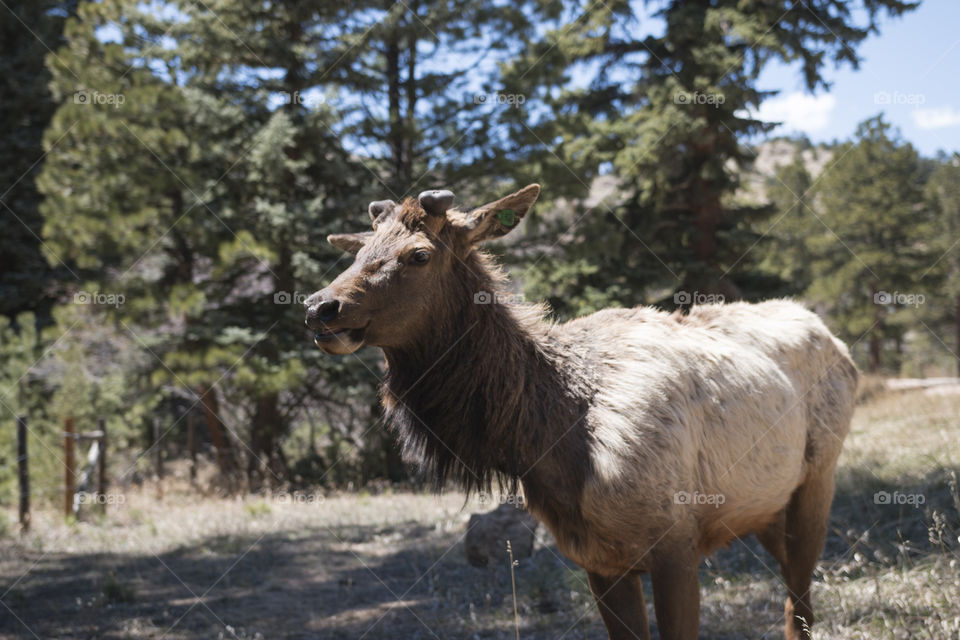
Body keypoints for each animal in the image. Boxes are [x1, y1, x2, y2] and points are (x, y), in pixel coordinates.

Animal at [304, 185, 860, 640]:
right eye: (359, 252)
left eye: (418, 254)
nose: (319, 307)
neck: (548, 443)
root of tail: (835, 338)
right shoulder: (598, 559)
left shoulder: (677, 543)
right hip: (764, 505)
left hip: (818, 477)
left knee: (800, 600)